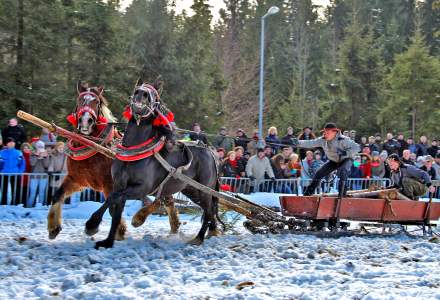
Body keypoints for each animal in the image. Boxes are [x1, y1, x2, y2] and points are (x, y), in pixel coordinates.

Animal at [88, 79, 222, 248]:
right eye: (137, 88)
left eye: (154, 93)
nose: (141, 93)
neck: (134, 152)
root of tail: (210, 152)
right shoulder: (119, 183)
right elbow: (115, 207)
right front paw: (108, 241)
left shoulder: (141, 188)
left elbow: (114, 197)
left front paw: (92, 224)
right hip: (192, 191)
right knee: (209, 210)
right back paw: (212, 231)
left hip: (204, 191)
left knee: (209, 211)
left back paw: (199, 238)